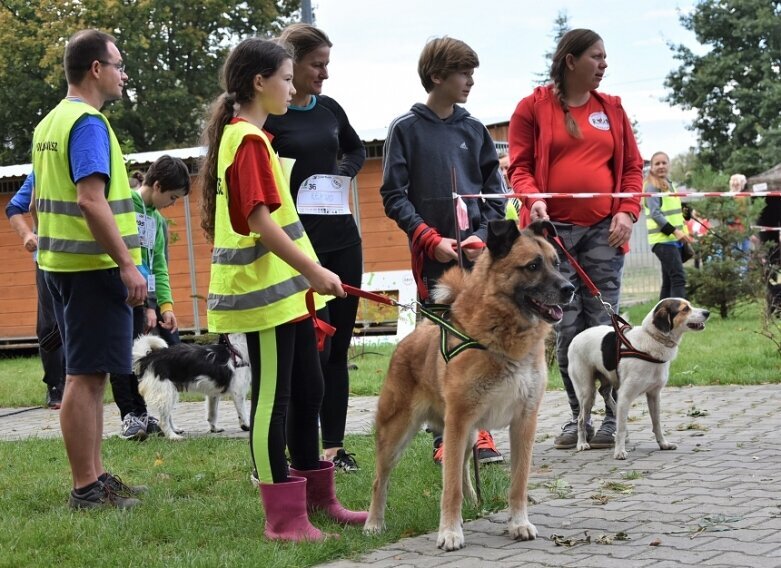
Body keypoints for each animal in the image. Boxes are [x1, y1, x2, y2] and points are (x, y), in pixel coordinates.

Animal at [364, 221, 572, 552]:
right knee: (380, 481)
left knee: (460, 468)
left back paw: (473, 503)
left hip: (468, 432)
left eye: (557, 263)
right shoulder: (460, 420)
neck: (502, 335)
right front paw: (449, 531)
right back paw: (374, 523)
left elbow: (517, 483)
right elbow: (448, 489)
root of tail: (411, 337)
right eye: (532, 266)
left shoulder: (523, 421)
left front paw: (518, 523)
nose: (569, 289)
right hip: (398, 433)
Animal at [568, 300, 708, 460]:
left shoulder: (654, 395)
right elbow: (621, 428)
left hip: (607, 379)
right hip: (586, 392)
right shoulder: (625, 395)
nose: (707, 312)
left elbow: (657, 423)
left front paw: (663, 444)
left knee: (605, 393)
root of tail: (577, 336)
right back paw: (581, 443)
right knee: (581, 419)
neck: (652, 340)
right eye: (685, 309)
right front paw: (619, 451)